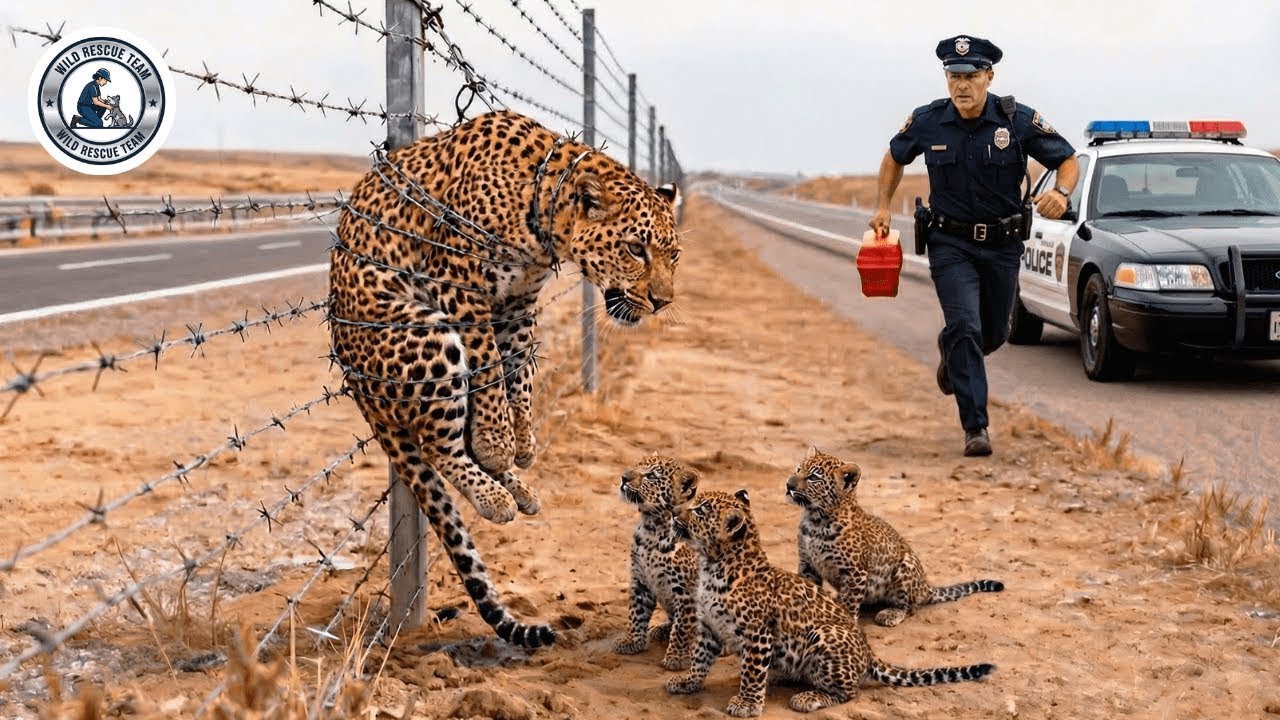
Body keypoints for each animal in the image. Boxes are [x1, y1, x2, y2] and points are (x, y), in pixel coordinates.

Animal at [329, 110, 681, 647]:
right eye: (635, 248)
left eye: (674, 255)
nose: (663, 302)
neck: (543, 208)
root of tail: (351, 373)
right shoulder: (461, 284)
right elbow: (491, 367)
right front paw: (500, 442)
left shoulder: (517, 302)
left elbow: (518, 370)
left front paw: (523, 441)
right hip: (426, 335)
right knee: (439, 444)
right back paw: (495, 496)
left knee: (455, 441)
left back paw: (520, 489)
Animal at [613, 454, 701, 670]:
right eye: (636, 466)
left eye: (652, 476)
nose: (623, 477)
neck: (651, 527)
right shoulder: (640, 579)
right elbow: (636, 612)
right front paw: (632, 641)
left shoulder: (686, 591)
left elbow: (683, 628)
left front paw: (677, 658)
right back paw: (662, 630)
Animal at [667, 490, 995, 716]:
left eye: (701, 510)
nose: (674, 511)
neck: (713, 566)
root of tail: (868, 652)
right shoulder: (708, 627)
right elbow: (699, 659)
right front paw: (686, 682)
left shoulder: (757, 633)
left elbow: (752, 672)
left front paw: (747, 703)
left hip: (824, 636)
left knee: (848, 692)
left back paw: (809, 697)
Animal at [786, 449, 1003, 627]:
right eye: (798, 469)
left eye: (813, 477)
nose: (789, 484)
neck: (815, 519)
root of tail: (926, 587)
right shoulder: (807, 564)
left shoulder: (855, 572)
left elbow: (850, 604)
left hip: (905, 567)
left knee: (908, 606)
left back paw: (890, 614)